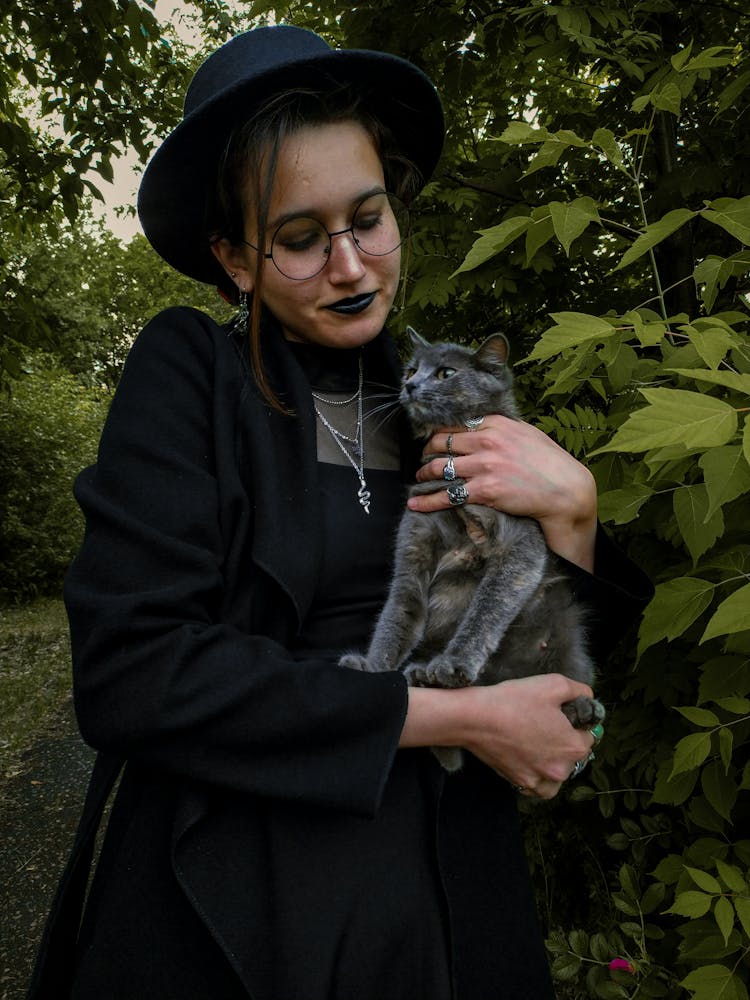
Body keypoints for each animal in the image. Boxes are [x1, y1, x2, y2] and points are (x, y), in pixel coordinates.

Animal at [340, 328, 604, 772]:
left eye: (446, 372)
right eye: (412, 369)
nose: (410, 385)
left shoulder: (520, 544)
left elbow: (486, 608)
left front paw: (456, 663)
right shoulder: (414, 548)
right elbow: (396, 616)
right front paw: (376, 667)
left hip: (567, 634)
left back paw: (582, 709)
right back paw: (419, 675)